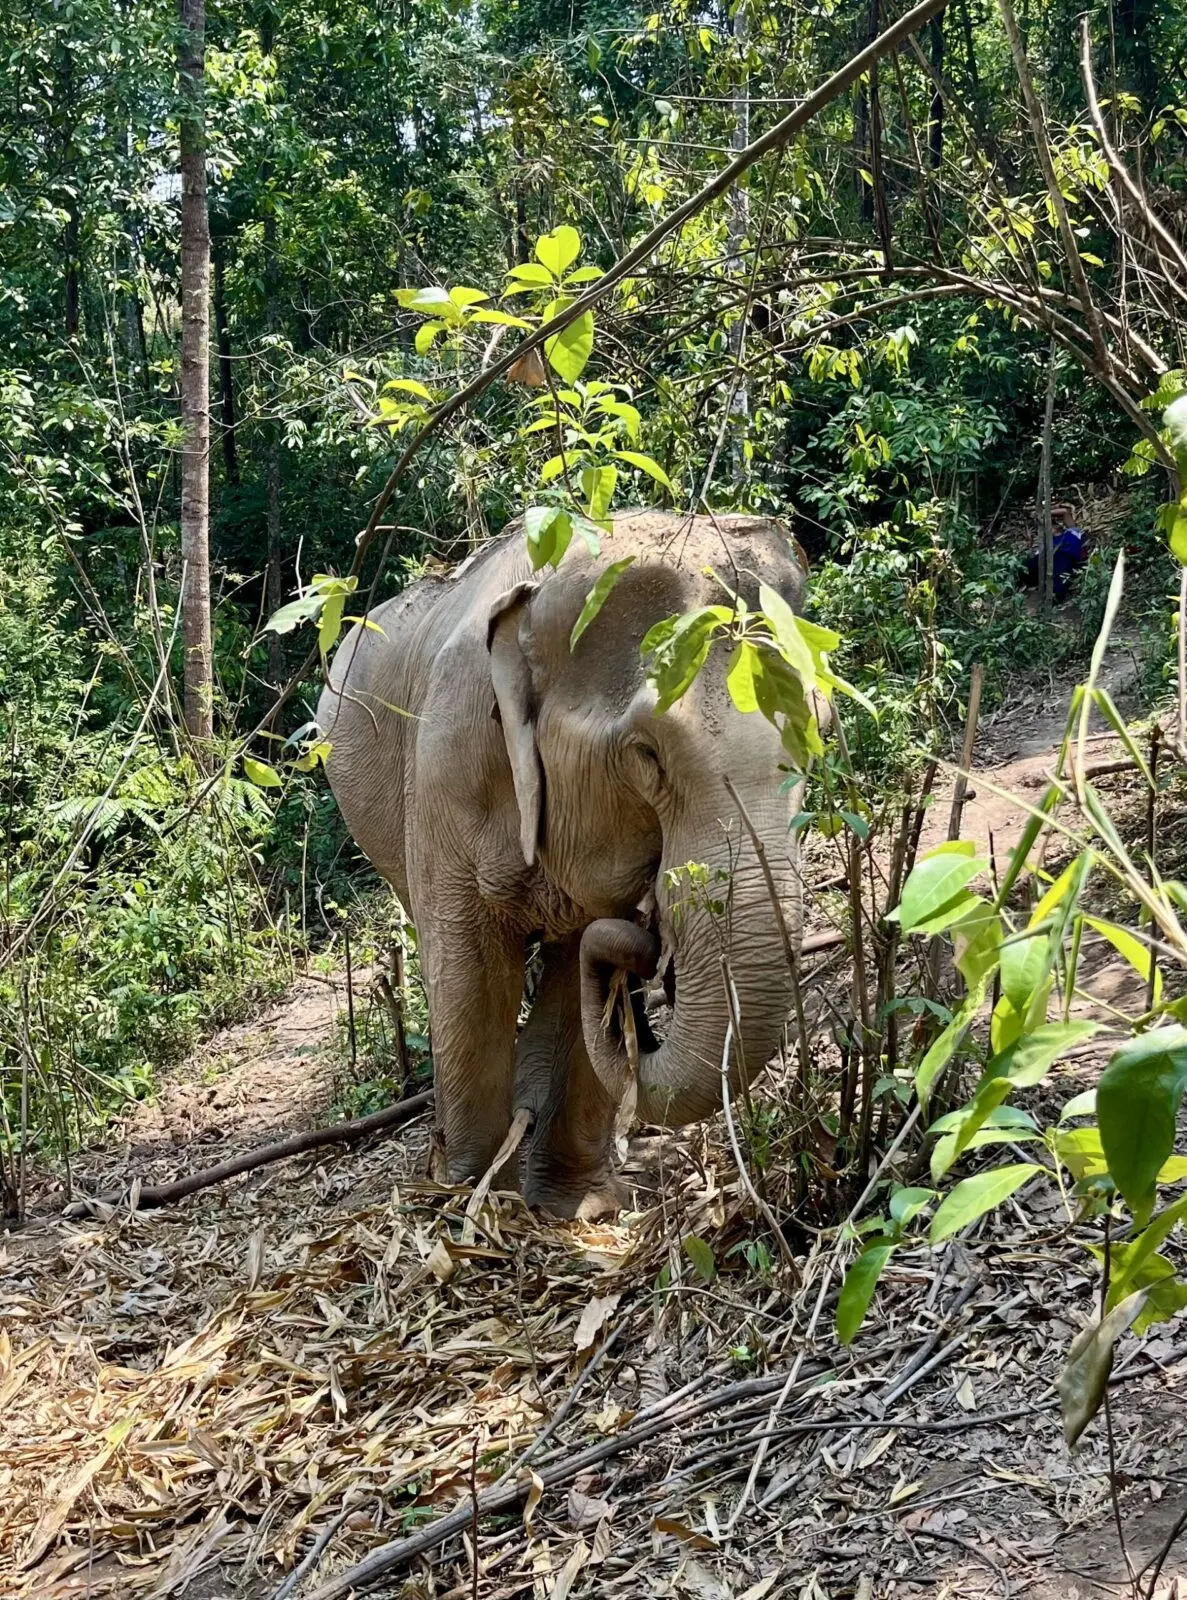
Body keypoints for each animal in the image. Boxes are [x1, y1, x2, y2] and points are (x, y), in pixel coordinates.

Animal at [317, 509, 808, 1218]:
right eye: (646, 754)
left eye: (819, 729)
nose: (650, 944)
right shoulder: (446, 764)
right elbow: (470, 976)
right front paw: (470, 1201)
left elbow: (580, 979)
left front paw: (576, 1208)